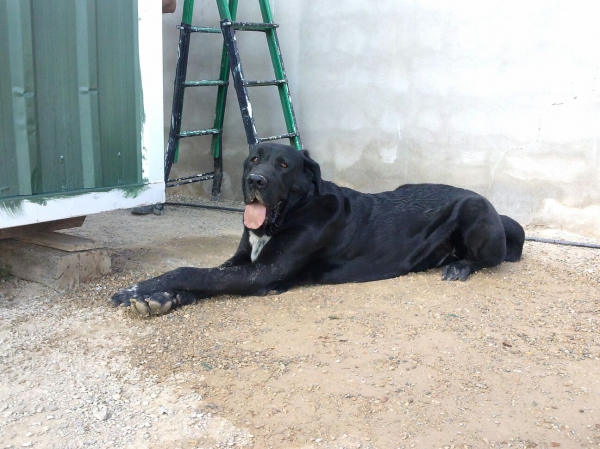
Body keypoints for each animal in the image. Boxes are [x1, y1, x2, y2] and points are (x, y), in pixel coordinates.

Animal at [112, 143, 524, 316]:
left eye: (284, 165)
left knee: (492, 258)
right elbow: (205, 276)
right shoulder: (243, 261)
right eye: (254, 159)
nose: (256, 181)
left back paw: (459, 266)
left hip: (474, 211)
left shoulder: (264, 272)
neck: (293, 212)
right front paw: (160, 298)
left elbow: (193, 272)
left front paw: (136, 288)